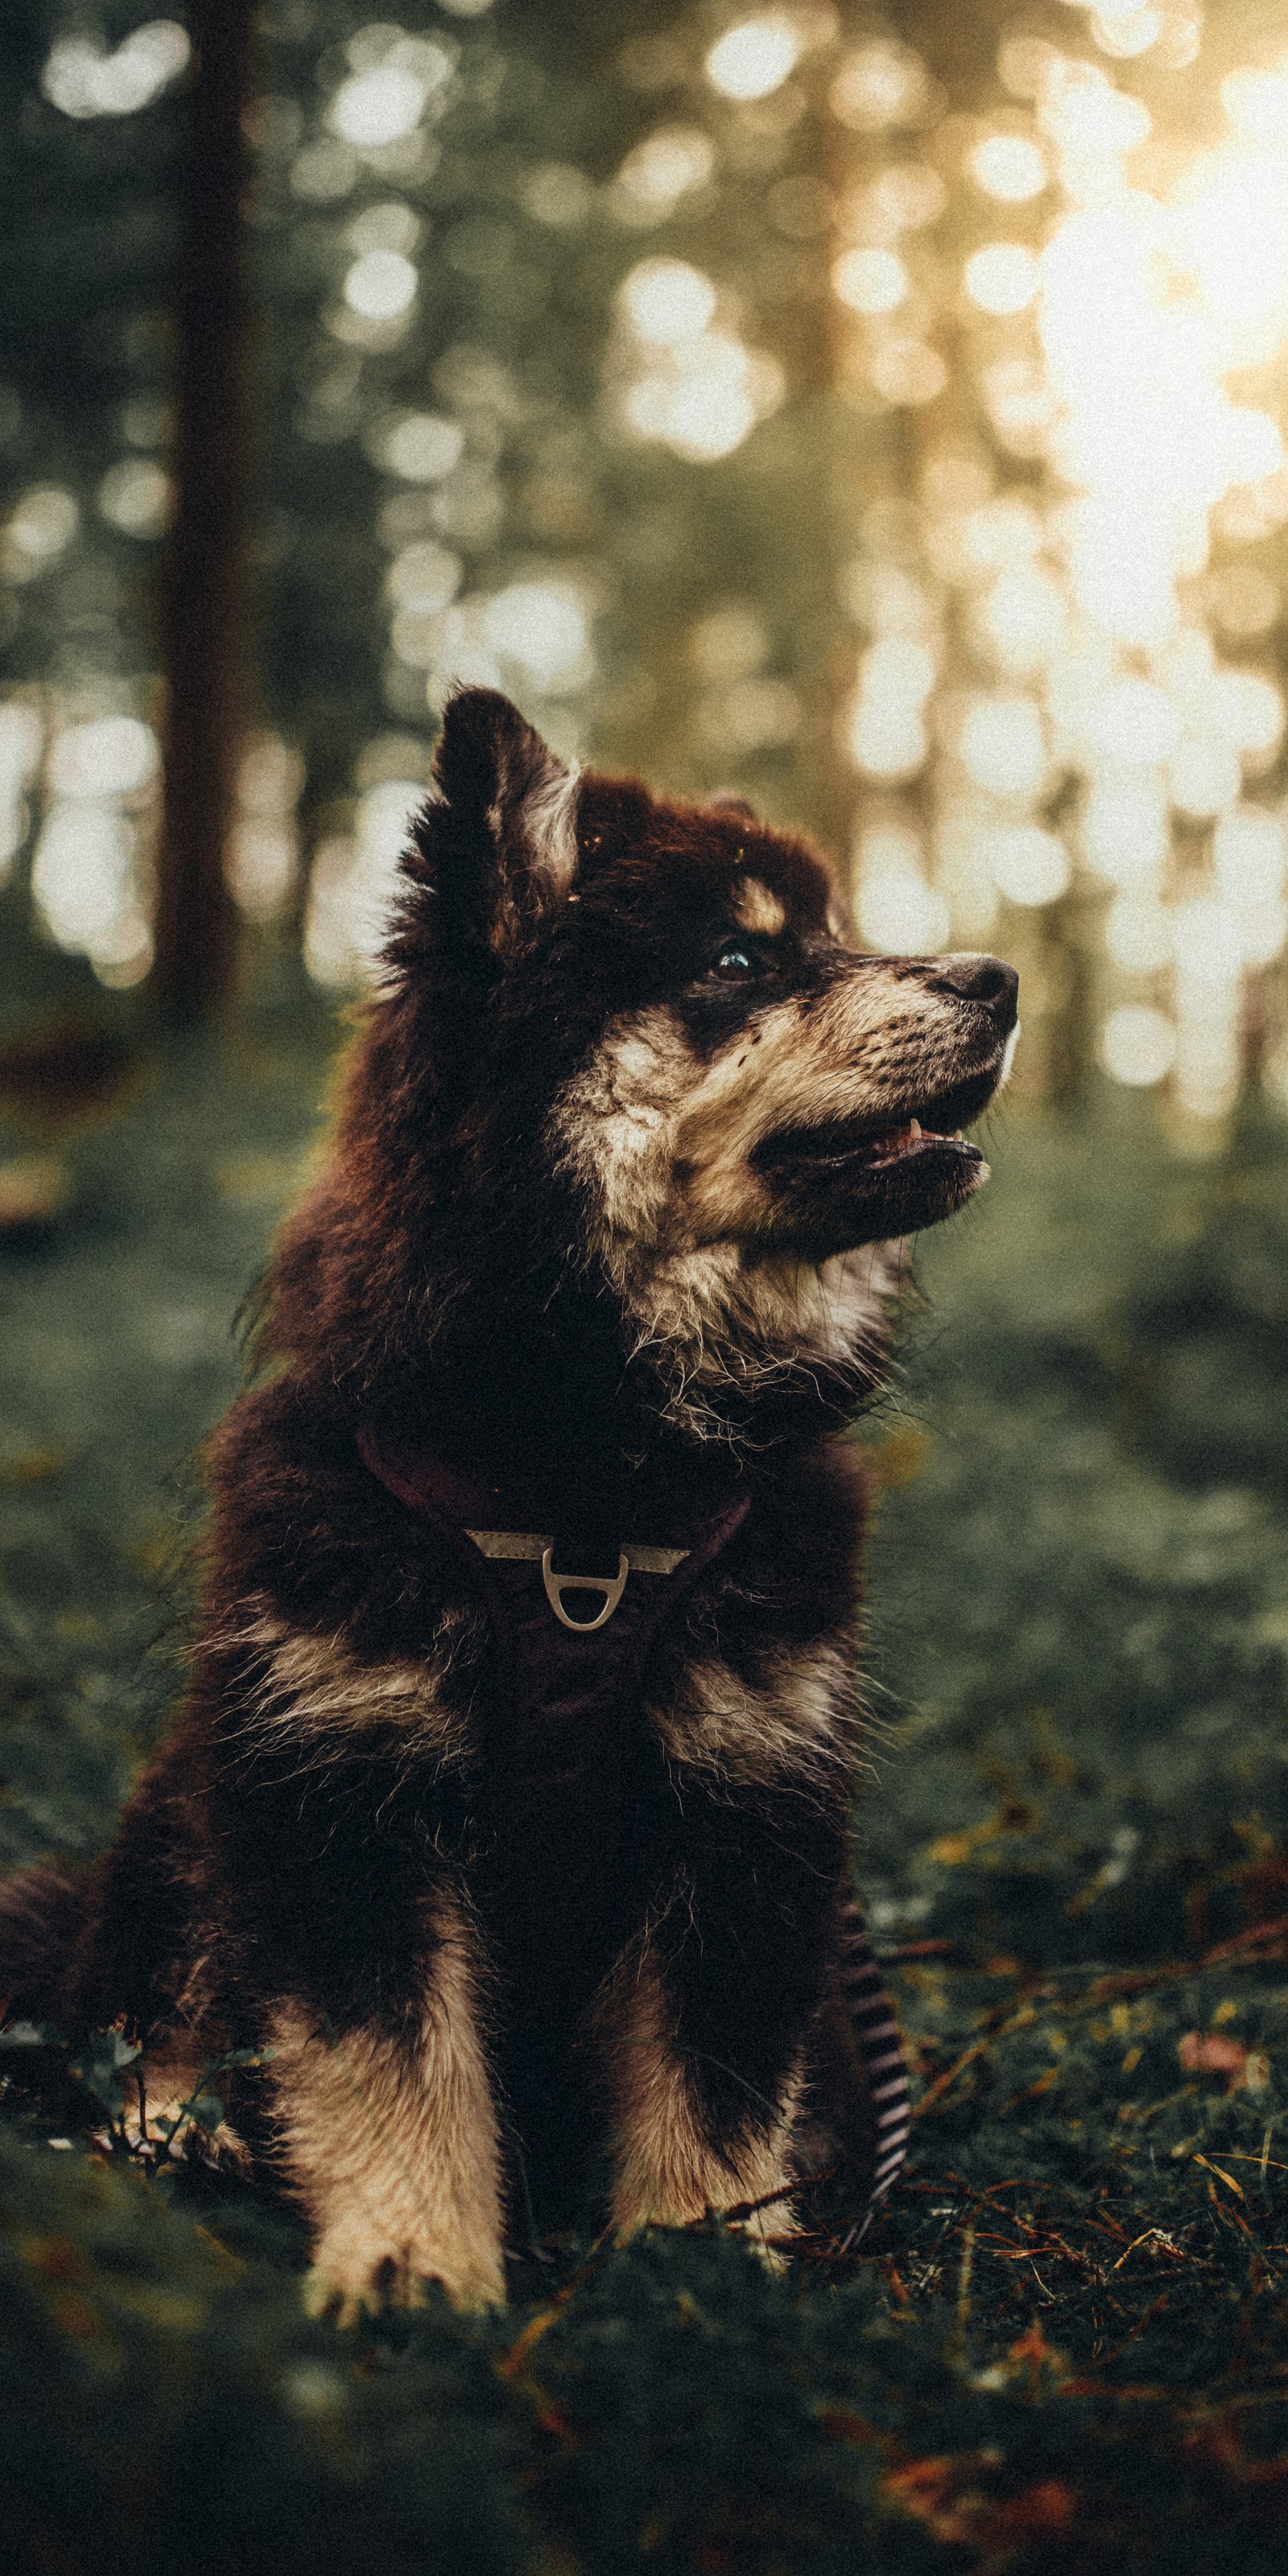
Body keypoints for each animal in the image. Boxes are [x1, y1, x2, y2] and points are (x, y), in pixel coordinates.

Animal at [2, 690, 1014, 2318]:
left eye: (836, 931)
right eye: (741, 962)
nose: (1000, 980)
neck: (591, 1479)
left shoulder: (750, 1798)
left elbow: (716, 2083)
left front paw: (700, 2271)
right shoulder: (341, 1772)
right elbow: (389, 2060)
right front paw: (413, 2261)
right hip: (189, 1805)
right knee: (145, 2012)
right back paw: (182, 2126)